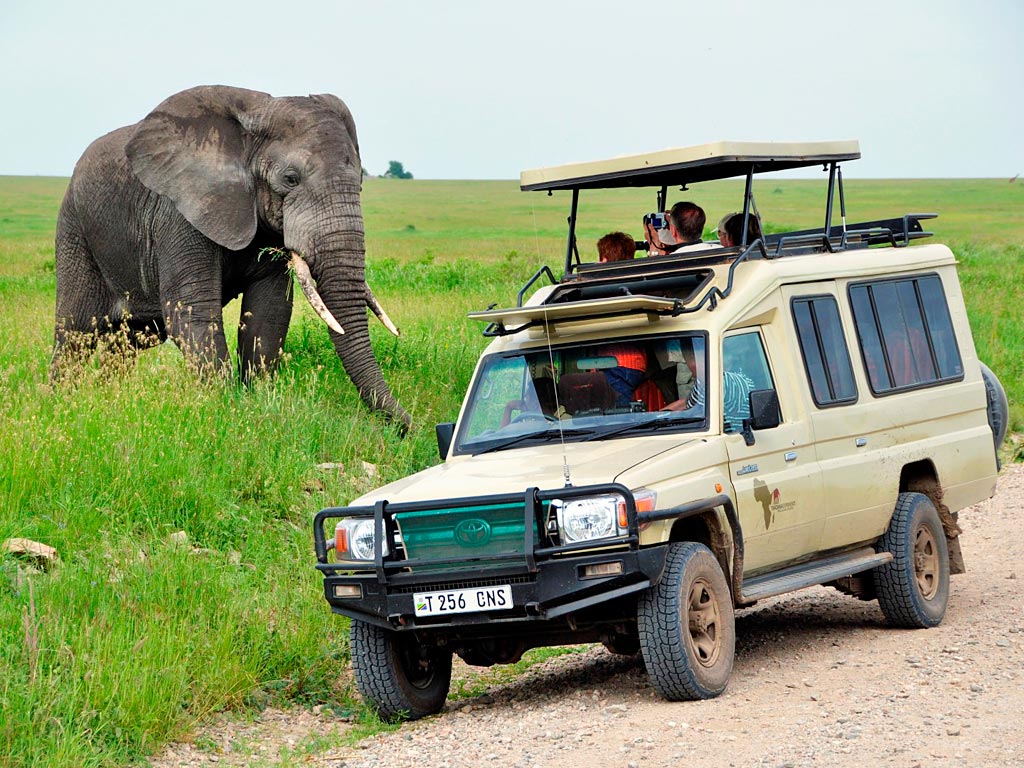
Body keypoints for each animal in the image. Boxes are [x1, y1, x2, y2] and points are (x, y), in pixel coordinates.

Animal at [54, 85, 409, 434]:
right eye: (291, 179)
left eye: (360, 182)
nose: (408, 427)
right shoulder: (179, 212)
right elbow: (192, 314)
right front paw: (226, 408)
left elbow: (268, 316)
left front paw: (257, 399)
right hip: (75, 229)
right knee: (75, 332)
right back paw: (63, 403)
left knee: (126, 342)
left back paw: (109, 397)